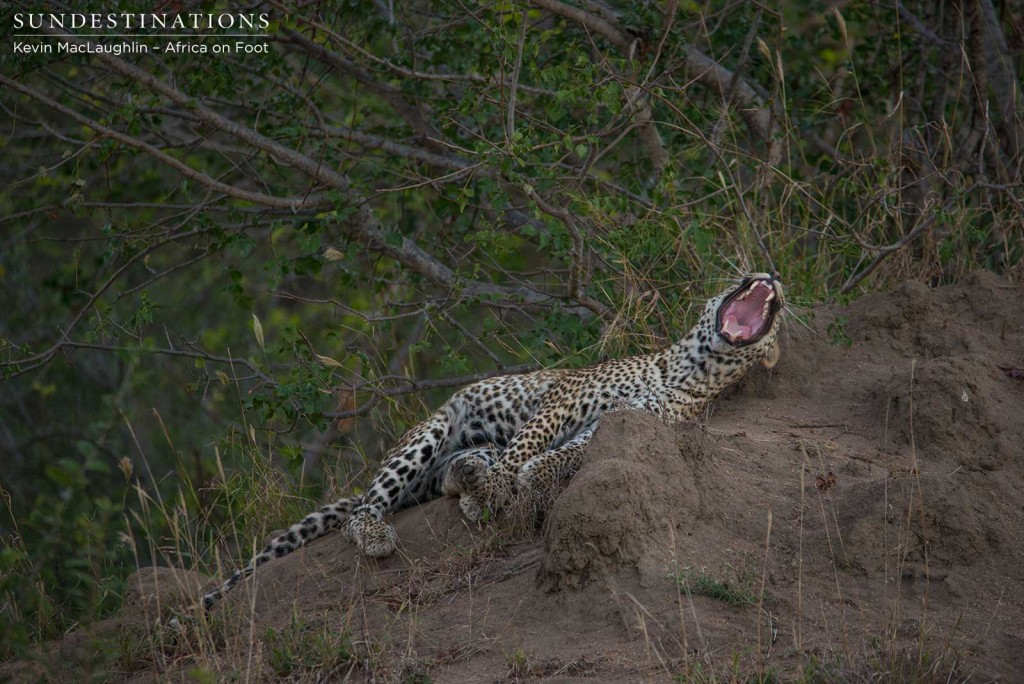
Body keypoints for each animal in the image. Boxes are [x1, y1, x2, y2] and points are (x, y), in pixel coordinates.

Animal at [193, 272, 782, 614]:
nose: (771, 273)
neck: (690, 368)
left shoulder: (614, 426)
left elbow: (564, 456)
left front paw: (524, 481)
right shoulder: (565, 397)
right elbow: (532, 440)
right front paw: (503, 485)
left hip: (446, 461)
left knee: (451, 478)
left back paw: (471, 482)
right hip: (428, 431)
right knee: (365, 507)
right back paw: (386, 530)